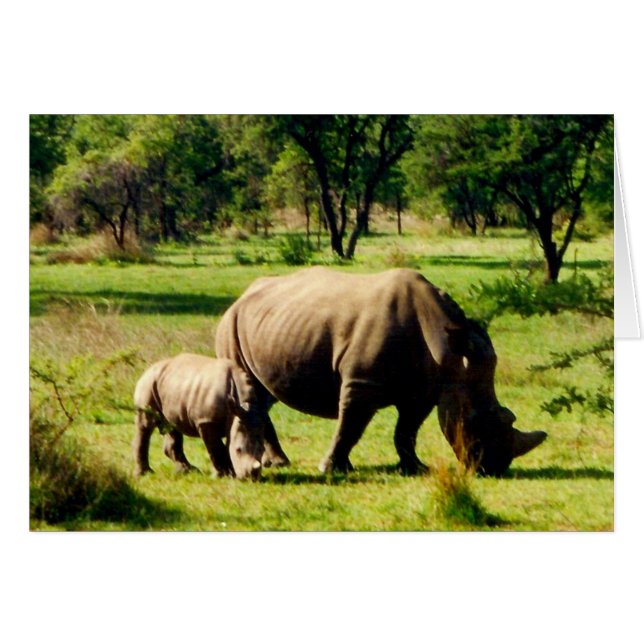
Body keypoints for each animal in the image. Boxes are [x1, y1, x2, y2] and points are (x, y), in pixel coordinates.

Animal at [133, 353, 264, 480]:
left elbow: (225, 445)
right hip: (148, 383)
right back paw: (144, 474)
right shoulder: (205, 421)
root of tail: (148, 369)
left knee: (171, 426)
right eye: (238, 450)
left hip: (169, 386)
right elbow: (216, 448)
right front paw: (222, 475)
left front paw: (231, 474)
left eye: (263, 450)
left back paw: (187, 471)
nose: (252, 477)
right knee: (146, 424)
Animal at [215, 267, 547, 476]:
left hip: (270, 323)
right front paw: (331, 469)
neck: (449, 351)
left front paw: (415, 468)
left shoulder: (423, 389)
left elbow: (407, 431)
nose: (495, 467)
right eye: (476, 420)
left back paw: (278, 462)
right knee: (251, 389)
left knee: (265, 395)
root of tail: (241, 296)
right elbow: (350, 427)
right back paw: (281, 463)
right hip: (230, 324)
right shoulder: (362, 383)